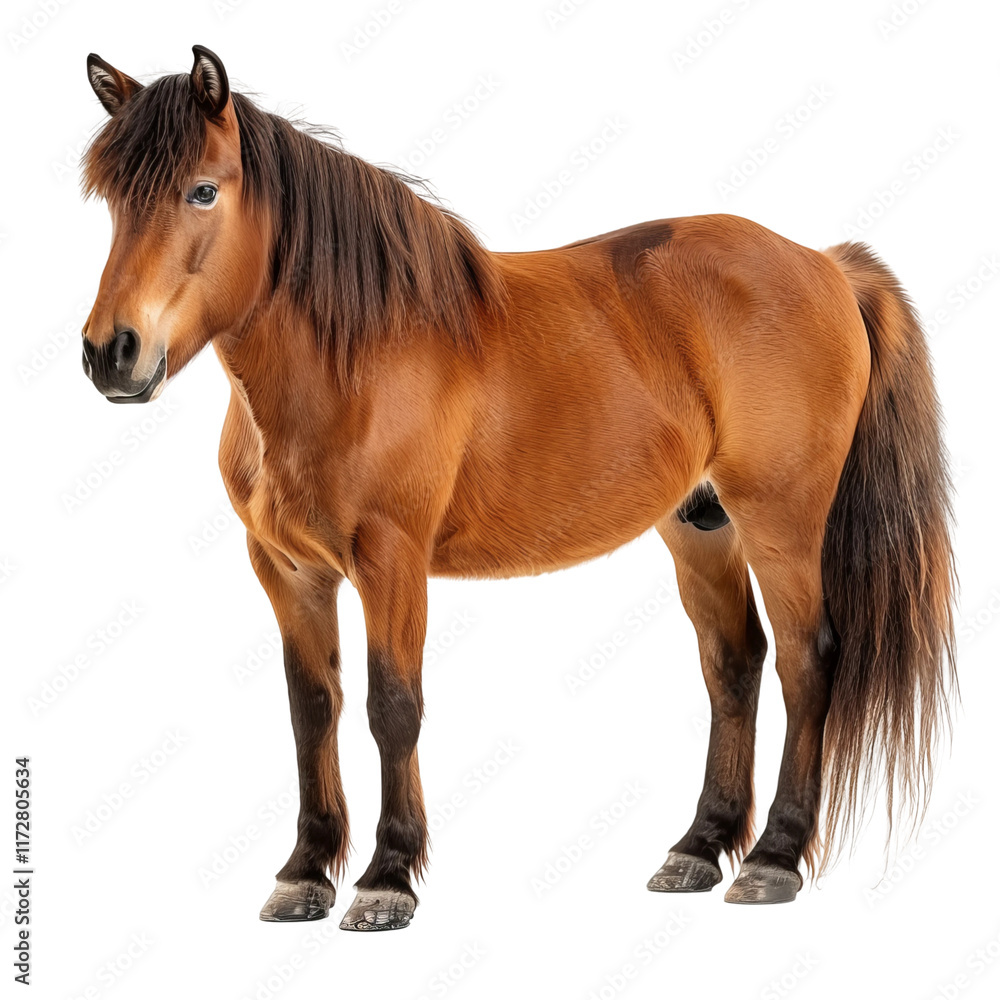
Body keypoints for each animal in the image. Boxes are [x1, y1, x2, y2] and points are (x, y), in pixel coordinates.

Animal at [80, 46, 956, 929]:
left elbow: (392, 707)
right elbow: (312, 710)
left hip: (781, 522)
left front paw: (386, 878)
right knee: (734, 662)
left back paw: (774, 857)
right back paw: (699, 848)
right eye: (112, 196)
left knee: (808, 660)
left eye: (202, 189)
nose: (112, 352)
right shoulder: (287, 571)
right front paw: (306, 870)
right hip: (701, 524)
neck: (352, 357)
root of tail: (825, 263)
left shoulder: (392, 561)